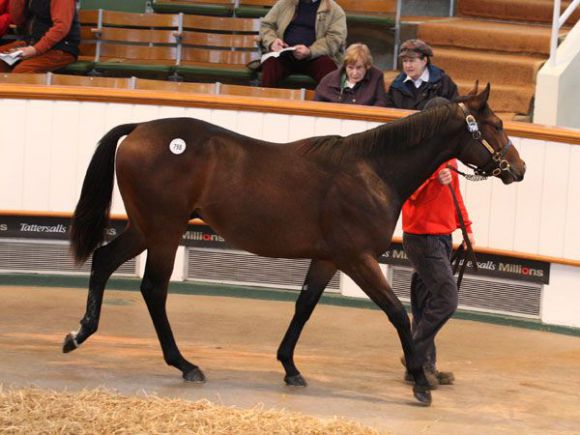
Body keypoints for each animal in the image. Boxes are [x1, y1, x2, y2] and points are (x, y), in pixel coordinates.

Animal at [63, 83, 524, 408]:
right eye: (497, 126)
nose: (518, 168)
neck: (372, 171)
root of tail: (139, 129)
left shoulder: (327, 258)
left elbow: (304, 307)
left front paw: (289, 367)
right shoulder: (357, 258)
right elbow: (397, 312)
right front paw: (420, 382)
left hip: (146, 228)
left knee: (104, 261)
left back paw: (79, 333)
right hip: (164, 231)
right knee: (153, 290)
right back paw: (185, 364)